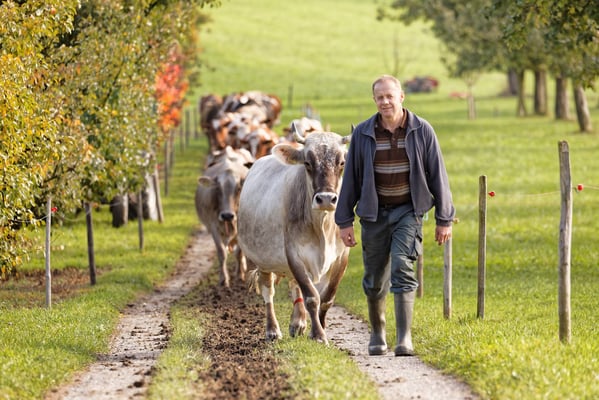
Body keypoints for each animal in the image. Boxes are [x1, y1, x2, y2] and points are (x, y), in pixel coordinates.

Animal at [195, 146, 251, 288]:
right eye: (218, 189)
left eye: (238, 188)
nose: (227, 215)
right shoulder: (213, 226)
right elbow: (221, 253)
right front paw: (223, 279)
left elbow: (239, 252)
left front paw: (240, 274)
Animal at [237, 127, 351, 344]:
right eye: (307, 163)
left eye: (341, 162)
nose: (326, 199)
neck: (322, 227)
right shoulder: (294, 254)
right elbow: (312, 297)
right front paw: (318, 335)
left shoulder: (342, 256)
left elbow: (327, 298)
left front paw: (320, 327)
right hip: (263, 261)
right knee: (268, 292)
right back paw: (273, 330)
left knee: (294, 286)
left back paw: (298, 323)